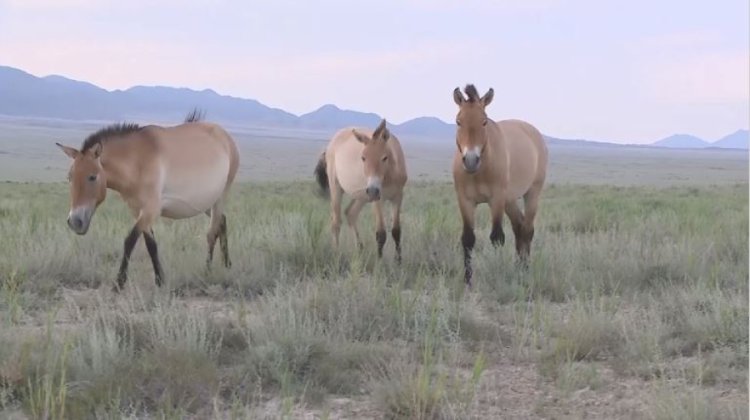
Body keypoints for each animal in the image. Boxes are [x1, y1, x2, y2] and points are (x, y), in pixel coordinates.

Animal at [57, 110, 242, 290]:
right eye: (69, 177)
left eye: (92, 177)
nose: (75, 222)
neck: (137, 161)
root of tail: (225, 136)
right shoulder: (138, 211)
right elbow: (151, 245)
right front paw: (160, 280)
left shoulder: (150, 210)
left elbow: (130, 241)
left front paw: (119, 283)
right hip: (206, 204)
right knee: (222, 222)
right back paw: (227, 264)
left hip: (220, 198)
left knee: (212, 233)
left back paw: (208, 271)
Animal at [318, 119, 412, 262]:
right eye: (363, 158)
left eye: (384, 157)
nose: (373, 190)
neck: (389, 174)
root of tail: (330, 145)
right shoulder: (378, 200)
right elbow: (381, 233)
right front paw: (379, 262)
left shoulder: (397, 197)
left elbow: (396, 231)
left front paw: (398, 261)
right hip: (337, 188)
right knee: (336, 222)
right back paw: (336, 253)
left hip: (362, 196)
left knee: (350, 213)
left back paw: (360, 250)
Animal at [452, 83, 552, 288]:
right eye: (458, 121)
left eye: (484, 122)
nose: (471, 160)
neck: (480, 171)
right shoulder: (465, 201)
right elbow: (468, 239)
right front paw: (468, 281)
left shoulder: (496, 199)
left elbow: (497, 237)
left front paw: (497, 274)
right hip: (510, 200)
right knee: (519, 226)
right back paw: (518, 267)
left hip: (532, 193)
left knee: (527, 229)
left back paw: (525, 270)